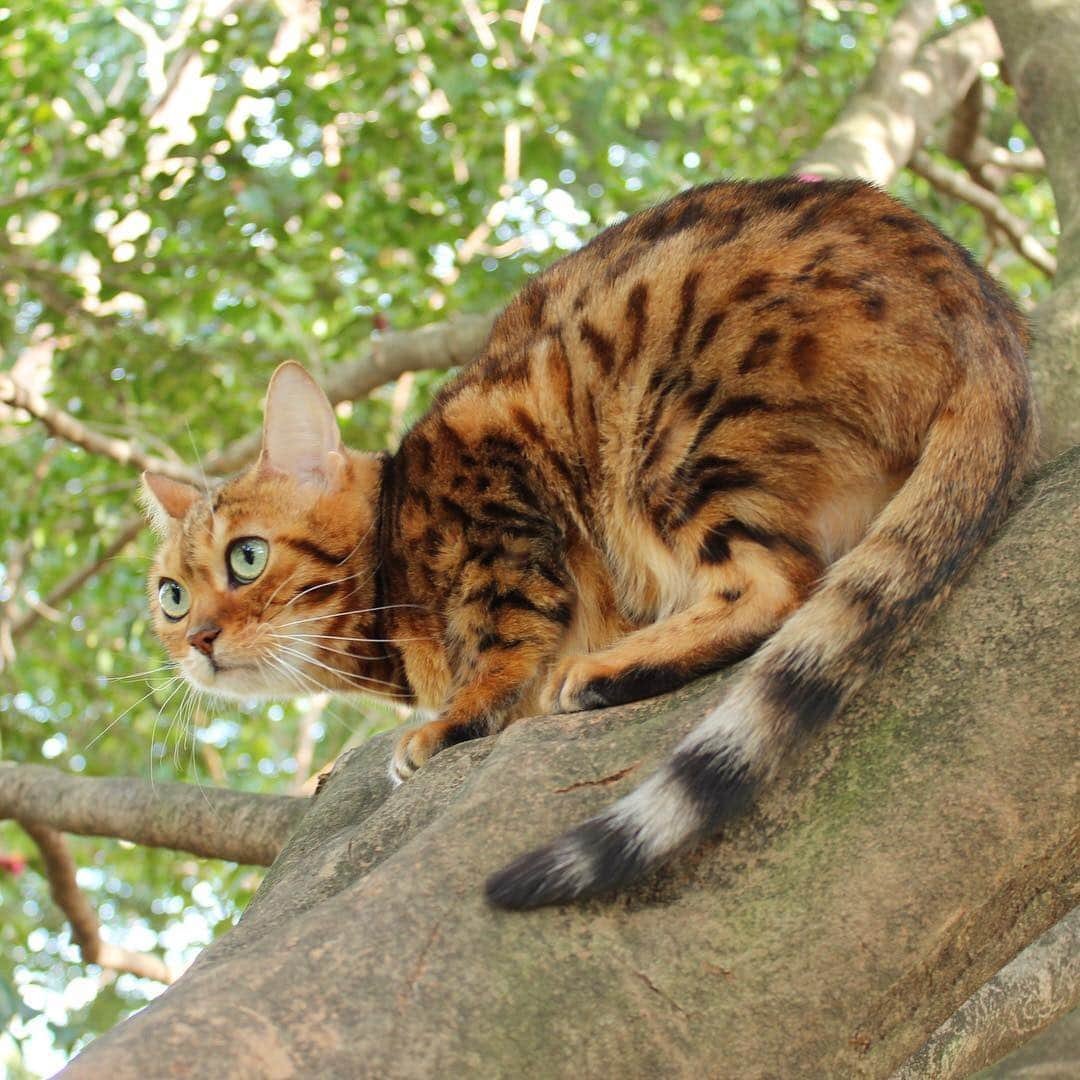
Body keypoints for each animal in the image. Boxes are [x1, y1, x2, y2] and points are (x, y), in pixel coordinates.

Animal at [143, 177, 1036, 911]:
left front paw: (457, 716)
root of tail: (983, 315)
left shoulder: (497, 483)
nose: (199, 640)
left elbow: (508, 631)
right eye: (171, 597)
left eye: (246, 557)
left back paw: (606, 668)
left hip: (669, 433)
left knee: (779, 584)